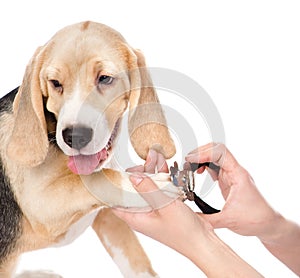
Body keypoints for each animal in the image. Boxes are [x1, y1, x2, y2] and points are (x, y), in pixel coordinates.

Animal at [0, 22, 178, 278]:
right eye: (55, 83)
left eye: (104, 78)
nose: (74, 136)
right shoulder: (41, 203)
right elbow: (97, 178)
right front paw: (155, 186)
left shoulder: (109, 218)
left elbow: (136, 261)